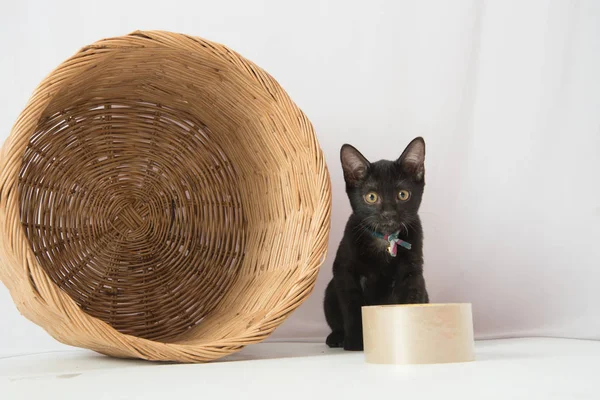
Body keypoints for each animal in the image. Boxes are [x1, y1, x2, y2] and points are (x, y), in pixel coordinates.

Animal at [322, 138, 428, 350]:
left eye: (403, 194)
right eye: (371, 197)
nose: (388, 214)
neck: (384, 241)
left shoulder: (412, 274)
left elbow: (408, 303)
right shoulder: (344, 272)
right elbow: (352, 308)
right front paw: (355, 343)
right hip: (330, 290)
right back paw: (336, 337)